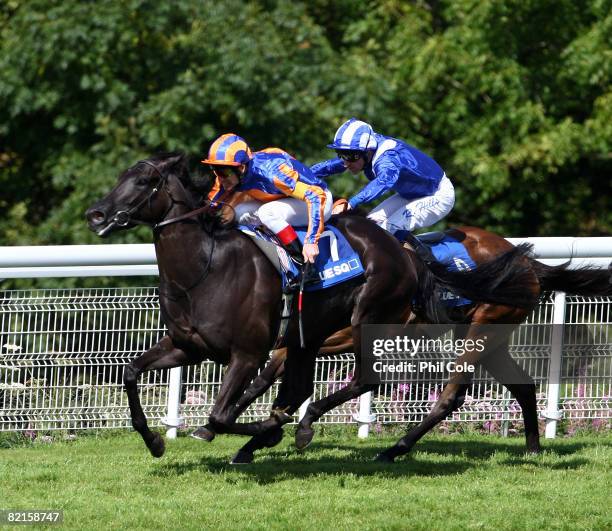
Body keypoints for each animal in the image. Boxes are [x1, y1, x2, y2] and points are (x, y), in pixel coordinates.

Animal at [87, 153, 540, 462]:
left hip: (376, 320)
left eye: (144, 179)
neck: (206, 267)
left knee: (378, 382)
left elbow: (222, 414)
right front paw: (155, 441)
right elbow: (131, 372)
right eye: (121, 176)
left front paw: (266, 431)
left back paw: (352, 439)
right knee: (522, 385)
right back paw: (533, 447)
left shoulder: (248, 352)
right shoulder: (188, 346)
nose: (96, 213)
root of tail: (406, 254)